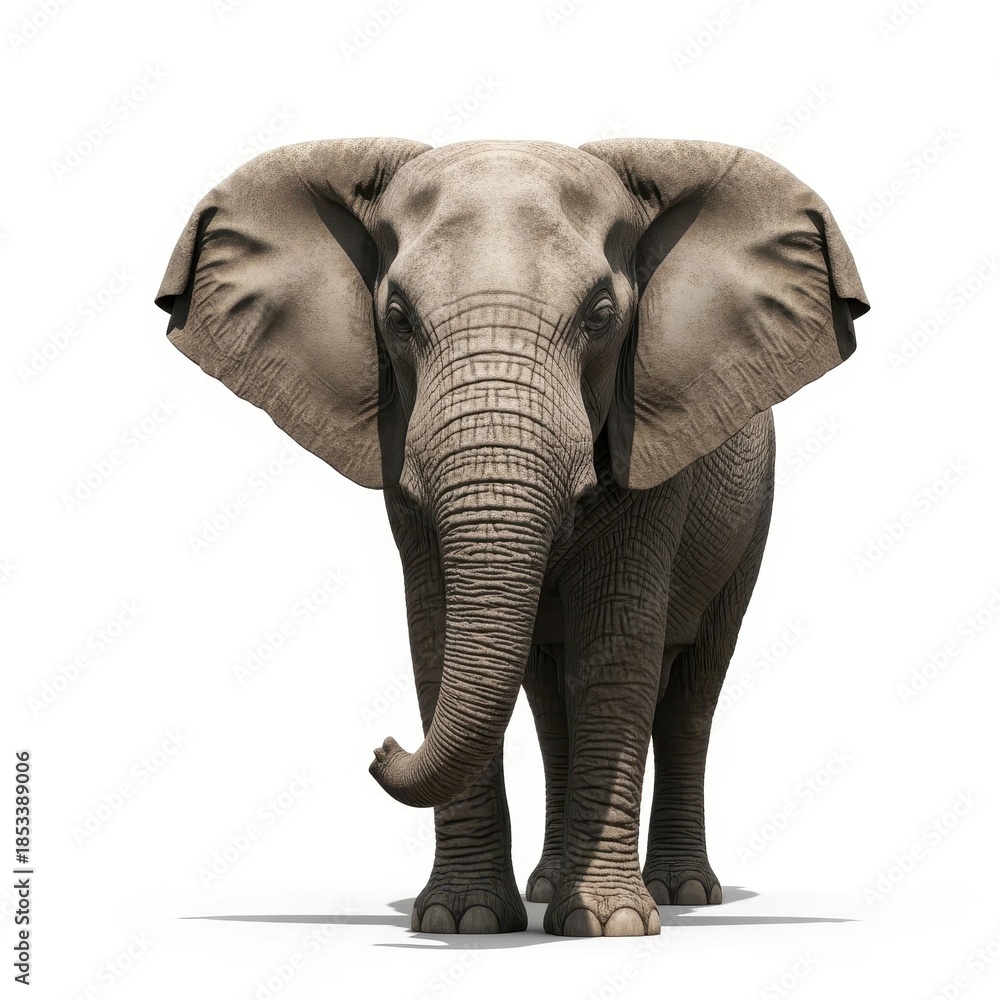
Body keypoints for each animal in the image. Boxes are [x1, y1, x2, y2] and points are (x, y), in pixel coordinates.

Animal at [155, 137, 868, 938]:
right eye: (396, 317)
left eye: (602, 315)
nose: (380, 747)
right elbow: (436, 638)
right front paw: (460, 922)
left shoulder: (652, 445)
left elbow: (614, 651)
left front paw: (609, 927)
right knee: (550, 702)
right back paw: (544, 887)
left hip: (751, 518)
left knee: (692, 694)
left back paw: (683, 892)